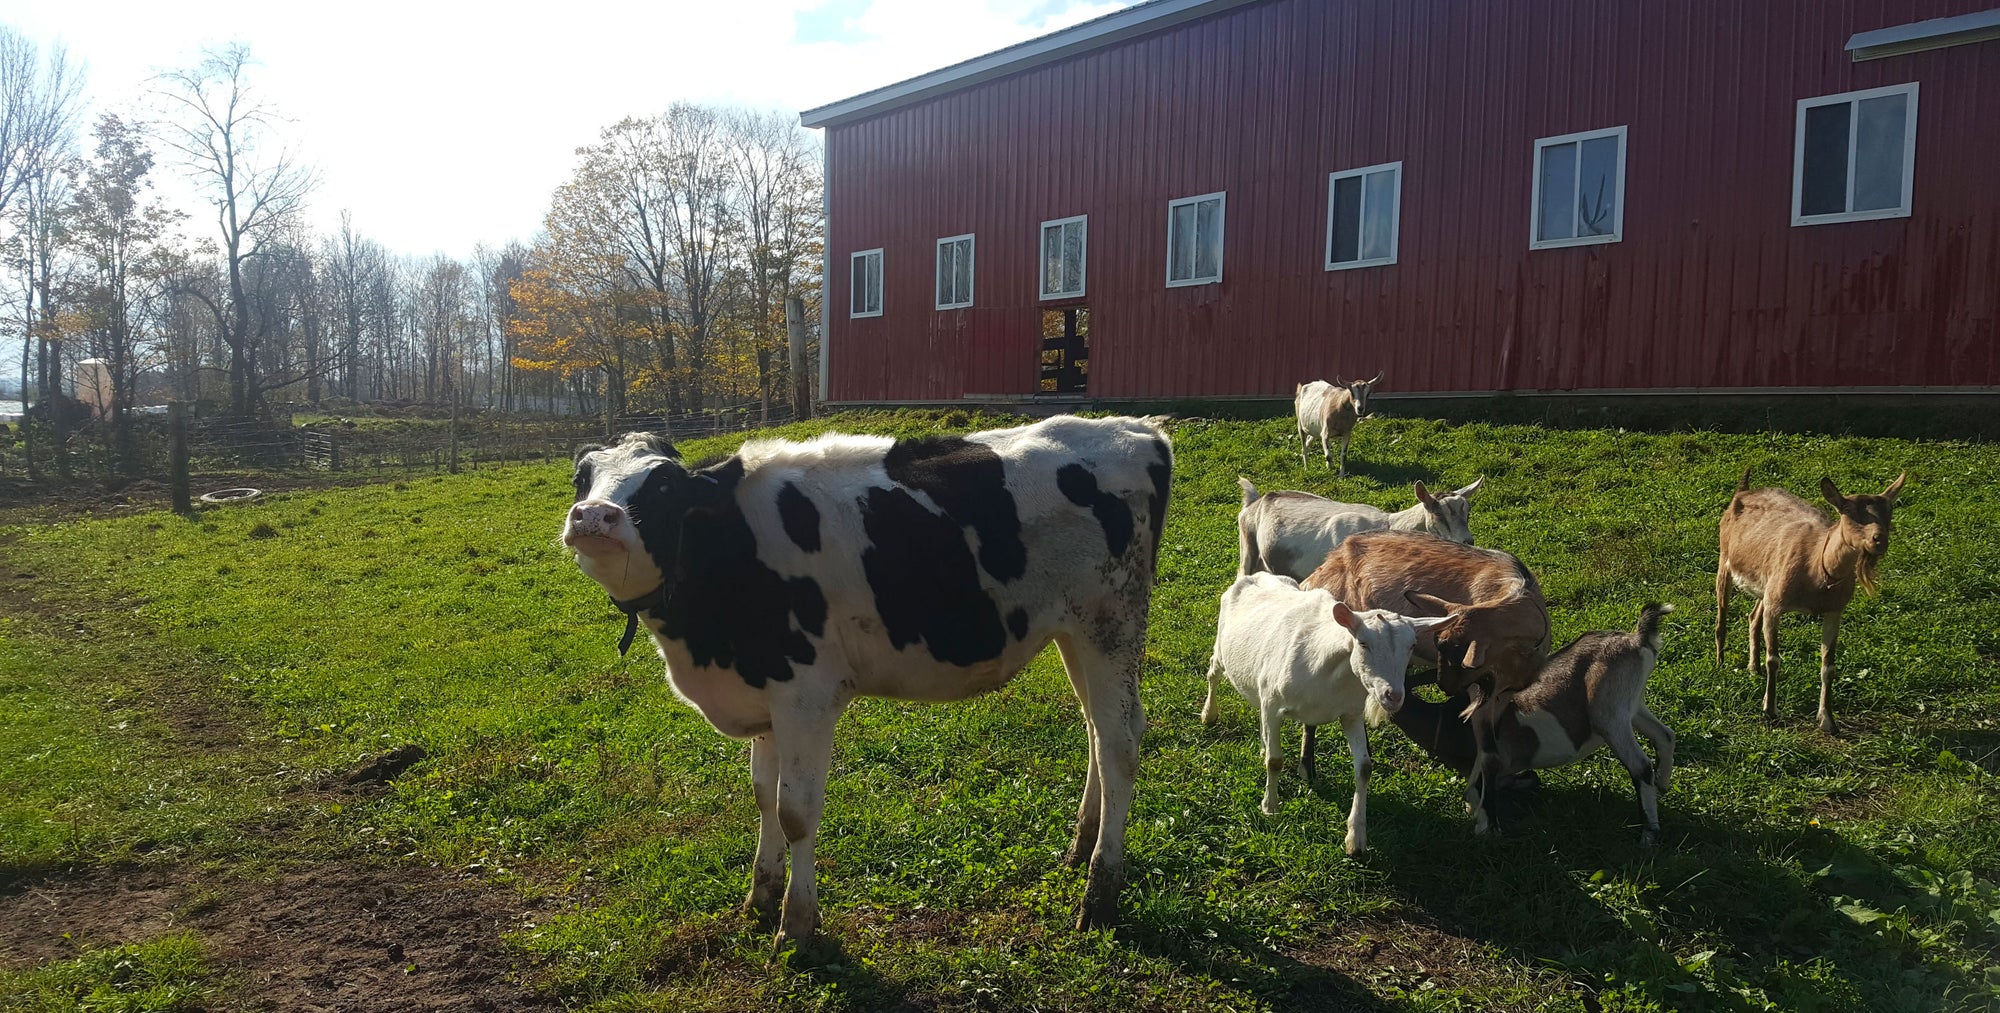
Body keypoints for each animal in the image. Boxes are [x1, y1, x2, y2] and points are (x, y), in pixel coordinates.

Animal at [561, 416, 1174, 946]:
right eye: (582, 475)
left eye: (663, 484)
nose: (593, 516)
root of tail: (1134, 429)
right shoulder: (765, 695)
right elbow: (763, 797)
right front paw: (759, 898)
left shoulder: (805, 696)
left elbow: (795, 811)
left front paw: (796, 926)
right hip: (1074, 630)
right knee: (1097, 727)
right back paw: (1080, 845)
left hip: (1111, 619)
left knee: (1120, 742)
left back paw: (1099, 893)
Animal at [1200, 572, 1451, 854]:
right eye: (1363, 643)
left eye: (1412, 645)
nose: (1393, 696)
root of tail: (1255, 575)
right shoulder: (1273, 702)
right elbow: (1275, 761)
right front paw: (1270, 808)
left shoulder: (1351, 713)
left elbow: (1364, 768)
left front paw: (1356, 840)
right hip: (1222, 648)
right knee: (1213, 672)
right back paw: (1209, 714)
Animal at [1237, 476, 1484, 579]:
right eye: (1438, 514)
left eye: (1468, 512)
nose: (1467, 541)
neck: (1390, 523)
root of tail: (1257, 501)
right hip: (1247, 552)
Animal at [1391, 604, 1678, 844]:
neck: (1443, 721)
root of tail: (1638, 639)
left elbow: (1478, 788)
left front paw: (1486, 827)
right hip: (1634, 705)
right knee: (1665, 735)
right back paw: (1662, 784)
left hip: (1609, 712)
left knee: (1640, 766)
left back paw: (1649, 834)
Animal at [1715, 468, 1905, 735]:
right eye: (1848, 511)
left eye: (1889, 510)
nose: (1879, 540)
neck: (1816, 566)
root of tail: (1743, 491)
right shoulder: (1776, 605)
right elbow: (1774, 659)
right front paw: (1770, 711)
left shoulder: (1834, 610)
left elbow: (1828, 666)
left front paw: (1827, 720)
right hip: (1725, 561)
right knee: (1722, 618)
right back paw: (1720, 664)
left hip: (1766, 584)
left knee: (1753, 617)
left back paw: (1753, 668)